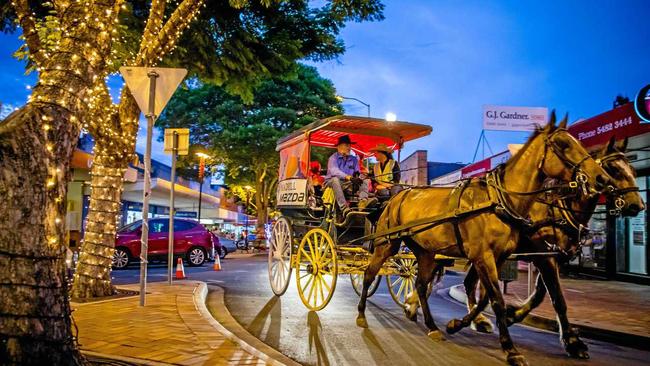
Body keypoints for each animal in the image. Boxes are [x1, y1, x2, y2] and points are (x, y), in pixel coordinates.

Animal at [354, 113, 612, 364]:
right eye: (562, 144)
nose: (602, 178)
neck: (499, 201)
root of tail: (394, 197)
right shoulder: (487, 257)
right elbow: (497, 299)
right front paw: (510, 348)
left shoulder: (502, 257)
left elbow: (491, 297)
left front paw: (465, 324)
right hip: (387, 244)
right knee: (369, 274)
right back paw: (362, 314)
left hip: (425, 251)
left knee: (420, 283)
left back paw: (430, 325)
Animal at [450, 134, 644, 358]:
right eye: (613, 169)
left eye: (633, 170)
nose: (637, 205)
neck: (560, 208)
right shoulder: (544, 256)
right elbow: (557, 298)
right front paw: (572, 341)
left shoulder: (555, 256)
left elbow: (540, 295)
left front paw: (513, 315)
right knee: (471, 283)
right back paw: (477, 320)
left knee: (470, 283)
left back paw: (478, 319)